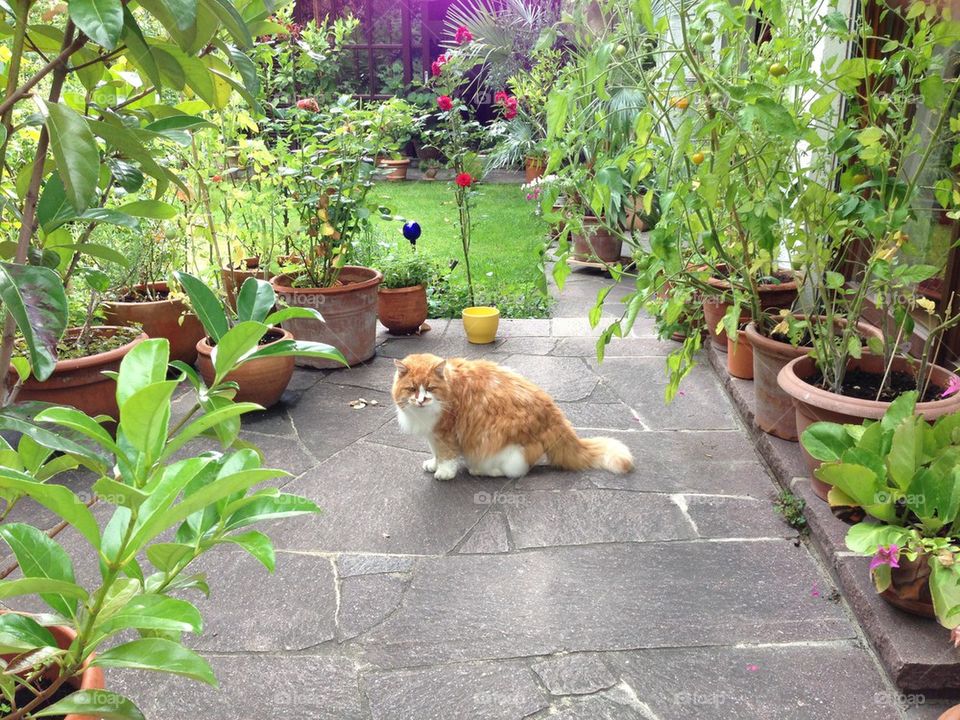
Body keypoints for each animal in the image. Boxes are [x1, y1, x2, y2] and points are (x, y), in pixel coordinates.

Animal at [390, 352, 632, 480]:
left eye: (430, 388)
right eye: (412, 389)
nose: (421, 400)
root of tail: (553, 413)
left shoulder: (445, 433)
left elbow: (447, 457)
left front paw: (444, 473)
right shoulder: (433, 435)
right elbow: (436, 454)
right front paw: (433, 465)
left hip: (502, 447)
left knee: (516, 470)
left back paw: (480, 470)